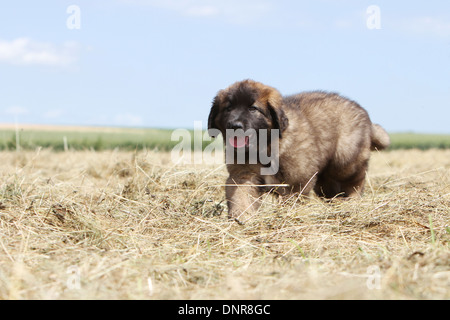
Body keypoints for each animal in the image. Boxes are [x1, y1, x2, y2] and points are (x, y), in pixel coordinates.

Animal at [208, 79, 390, 224]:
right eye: (228, 108)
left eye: (253, 109)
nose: (235, 125)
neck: (266, 145)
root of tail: (365, 116)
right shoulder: (243, 175)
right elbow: (241, 197)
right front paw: (241, 217)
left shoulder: (296, 180)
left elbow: (291, 200)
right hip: (324, 180)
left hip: (344, 160)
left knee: (356, 178)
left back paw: (352, 200)